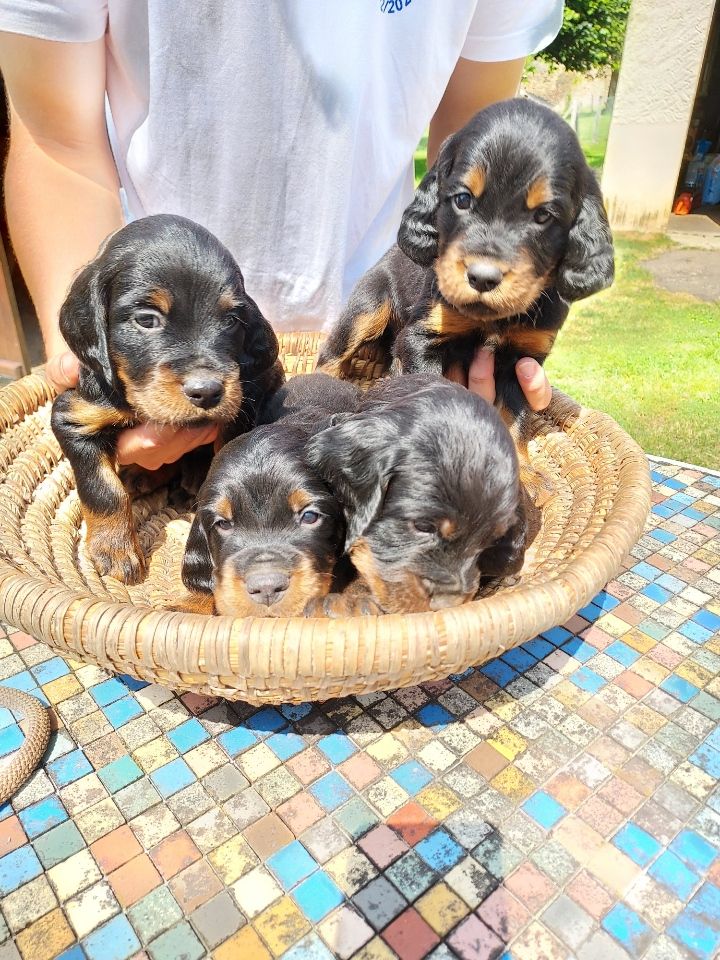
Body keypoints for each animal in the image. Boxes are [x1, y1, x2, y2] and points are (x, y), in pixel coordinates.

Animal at [50, 214, 282, 580]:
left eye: (232, 320)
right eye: (147, 319)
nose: (208, 392)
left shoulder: (241, 413)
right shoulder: (75, 416)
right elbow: (102, 489)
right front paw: (114, 549)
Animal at [320, 97, 612, 424]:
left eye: (543, 216)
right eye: (462, 199)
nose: (482, 278)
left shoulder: (523, 359)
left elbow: (513, 423)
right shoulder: (421, 338)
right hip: (366, 307)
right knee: (327, 358)